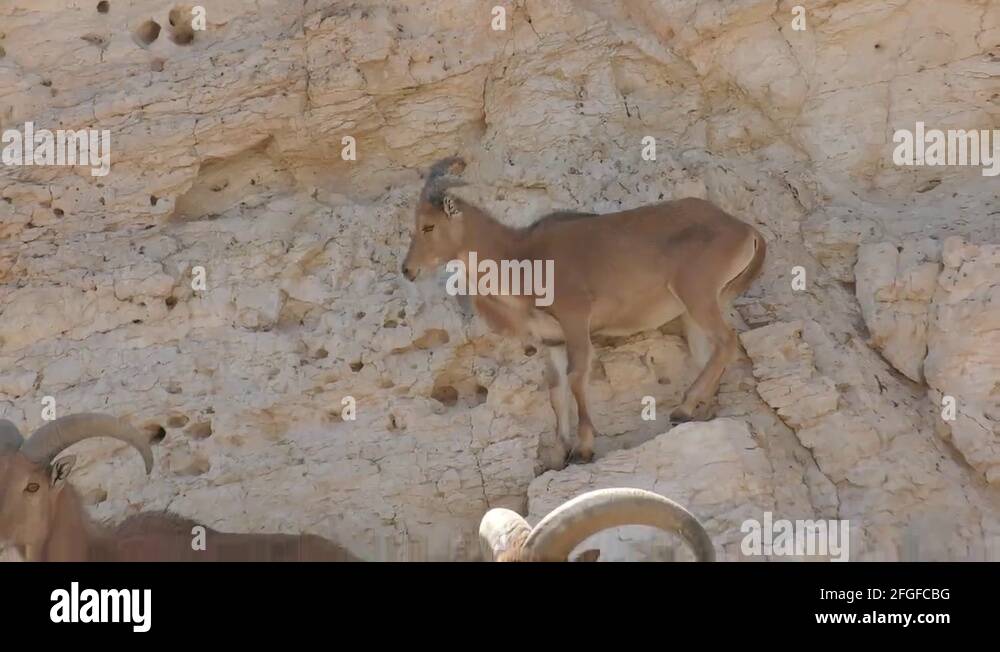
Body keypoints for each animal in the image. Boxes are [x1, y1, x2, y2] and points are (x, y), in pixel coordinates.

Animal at [401, 157, 766, 465]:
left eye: (428, 226)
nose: (407, 270)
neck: (522, 258)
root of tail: (743, 229)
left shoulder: (576, 317)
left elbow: (577, 375)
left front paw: (584, 448)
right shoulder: (552, 339)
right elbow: (556, 390)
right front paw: (558, 453)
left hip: (697, 294)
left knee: (727, 341)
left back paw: (685, 407)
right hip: (695, 310)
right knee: (708, 353)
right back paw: (699, 411)